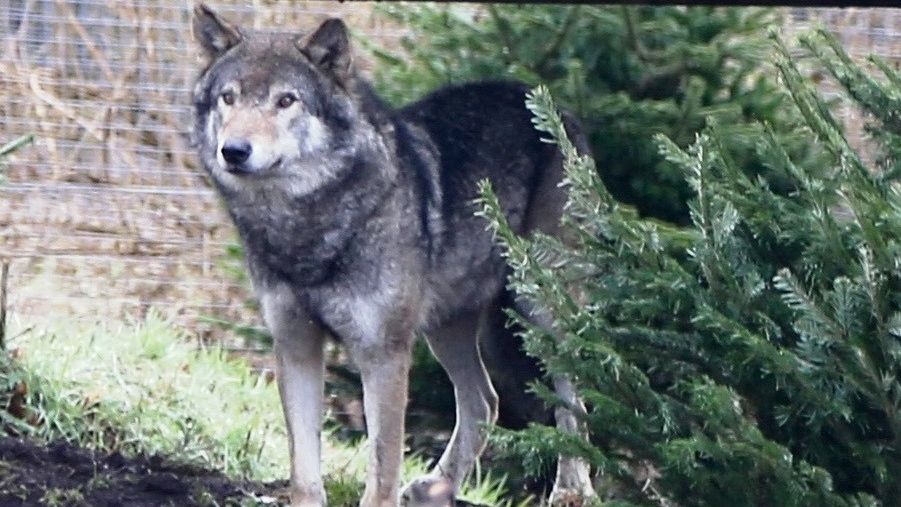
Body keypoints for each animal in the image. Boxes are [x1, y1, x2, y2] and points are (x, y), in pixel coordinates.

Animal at [191, 4, 597, 506]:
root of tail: (555, 107)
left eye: (286, 101)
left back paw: (572, 490)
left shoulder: (383, 353)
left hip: (541, 308)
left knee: (574, 392)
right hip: (446, 327)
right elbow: (304, 469)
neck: (310, 229)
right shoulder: (294, 344)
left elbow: (382, 465)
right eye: (228, 98)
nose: (233, 150)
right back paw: (437, 487)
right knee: (485, 401)